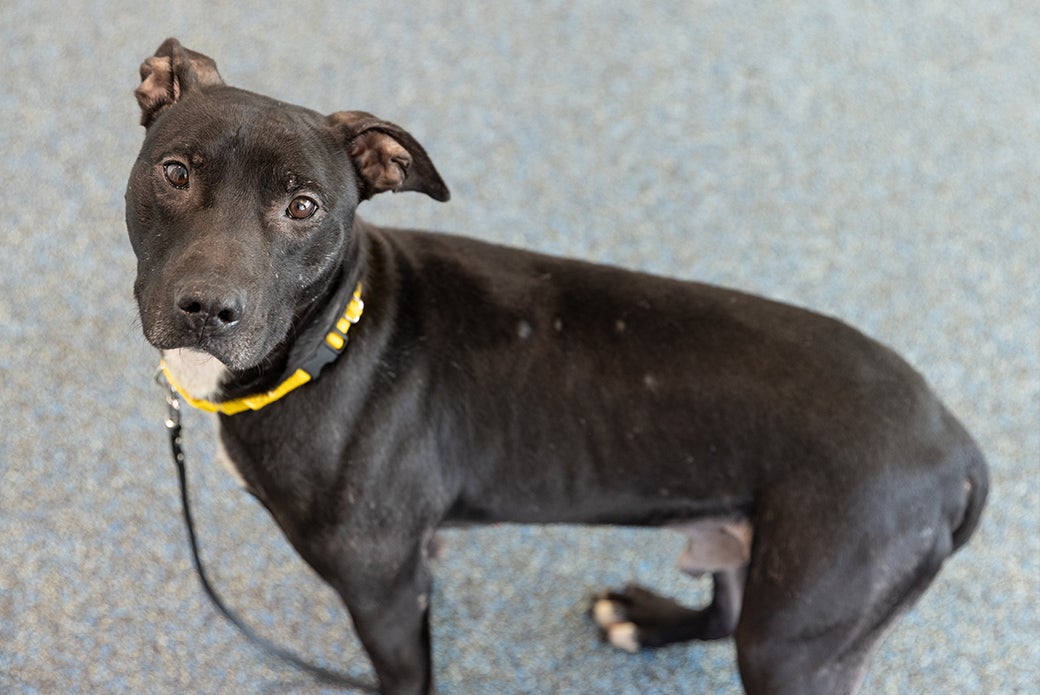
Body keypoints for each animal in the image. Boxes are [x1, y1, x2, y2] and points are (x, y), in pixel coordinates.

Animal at [126, 38, 988, 695]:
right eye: (175, 172)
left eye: (303, 207)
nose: (208, 307)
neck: (332, 335)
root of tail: (956, 445)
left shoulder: (385, 589)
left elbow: (407, 675)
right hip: (753, 546)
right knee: (722, 611)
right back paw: (645, 621)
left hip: (798, 631)